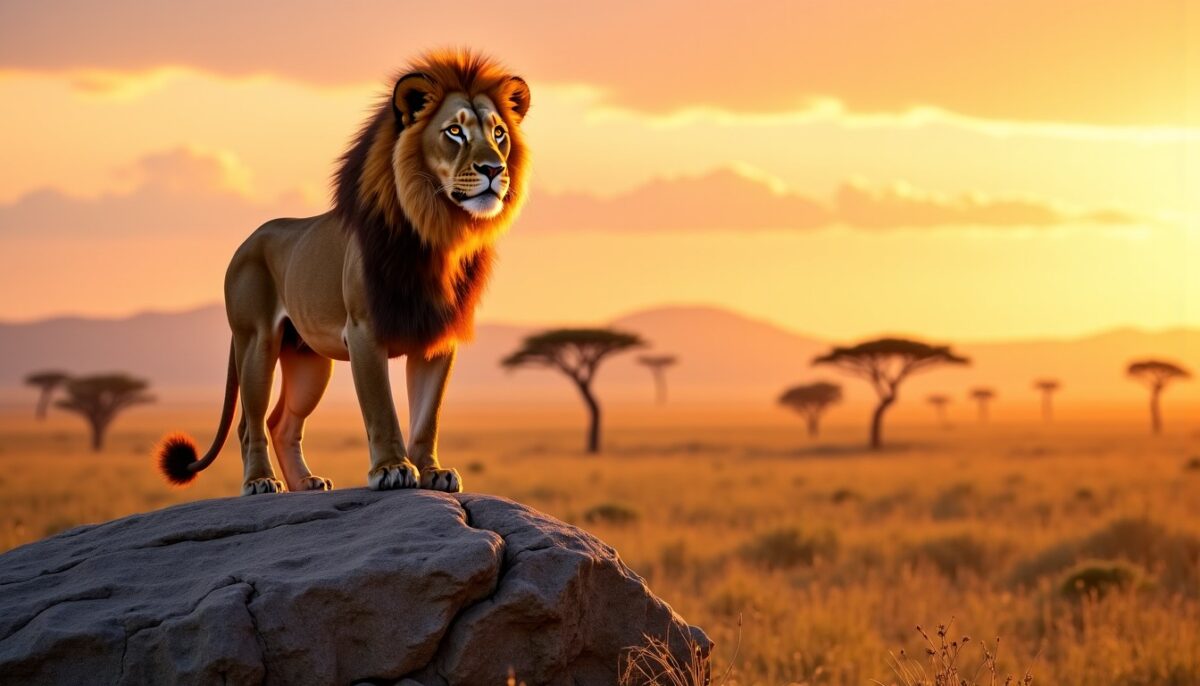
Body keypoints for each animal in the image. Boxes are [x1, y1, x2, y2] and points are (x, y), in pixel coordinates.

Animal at [155, 50, 530, 495]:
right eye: (454, 131)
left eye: (499, 133)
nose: (494, 169)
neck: (438, 233)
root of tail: (249, 239)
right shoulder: (364, 330)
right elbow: (382, 410)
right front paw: (392, 469)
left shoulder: (436, 339)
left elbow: (428, 415)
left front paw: (433, 472)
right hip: (255, 341)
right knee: (251, 424)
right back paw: (260, 481)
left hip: (309, 362)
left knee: (281, 423)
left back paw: (306, 483)